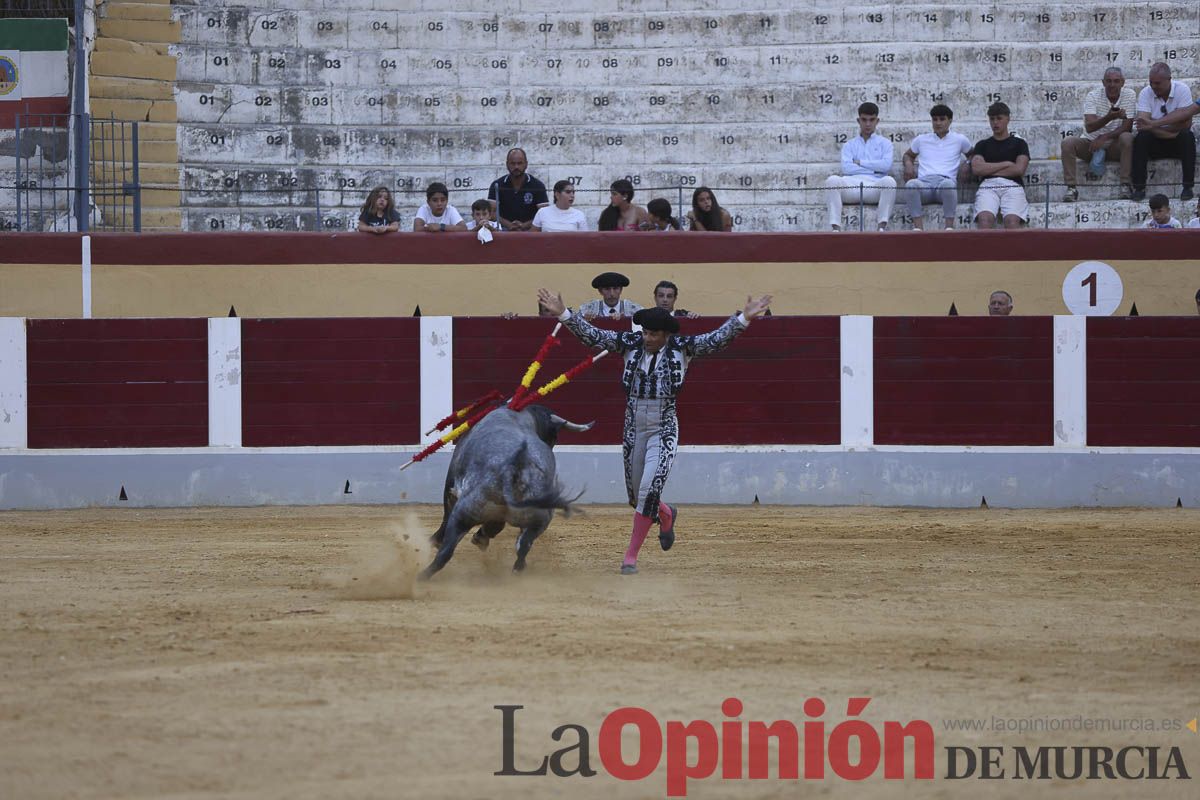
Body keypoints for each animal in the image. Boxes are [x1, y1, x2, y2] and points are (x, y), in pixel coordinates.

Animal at [420, 402, 592, 578]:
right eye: (554, 436)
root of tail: (517, 467)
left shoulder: (451, 489)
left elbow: (446, 516)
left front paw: (435, 541)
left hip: (465, 511)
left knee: (445, 552)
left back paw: (422, 575)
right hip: (540, 519)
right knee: (523, 544)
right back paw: (516, 567)